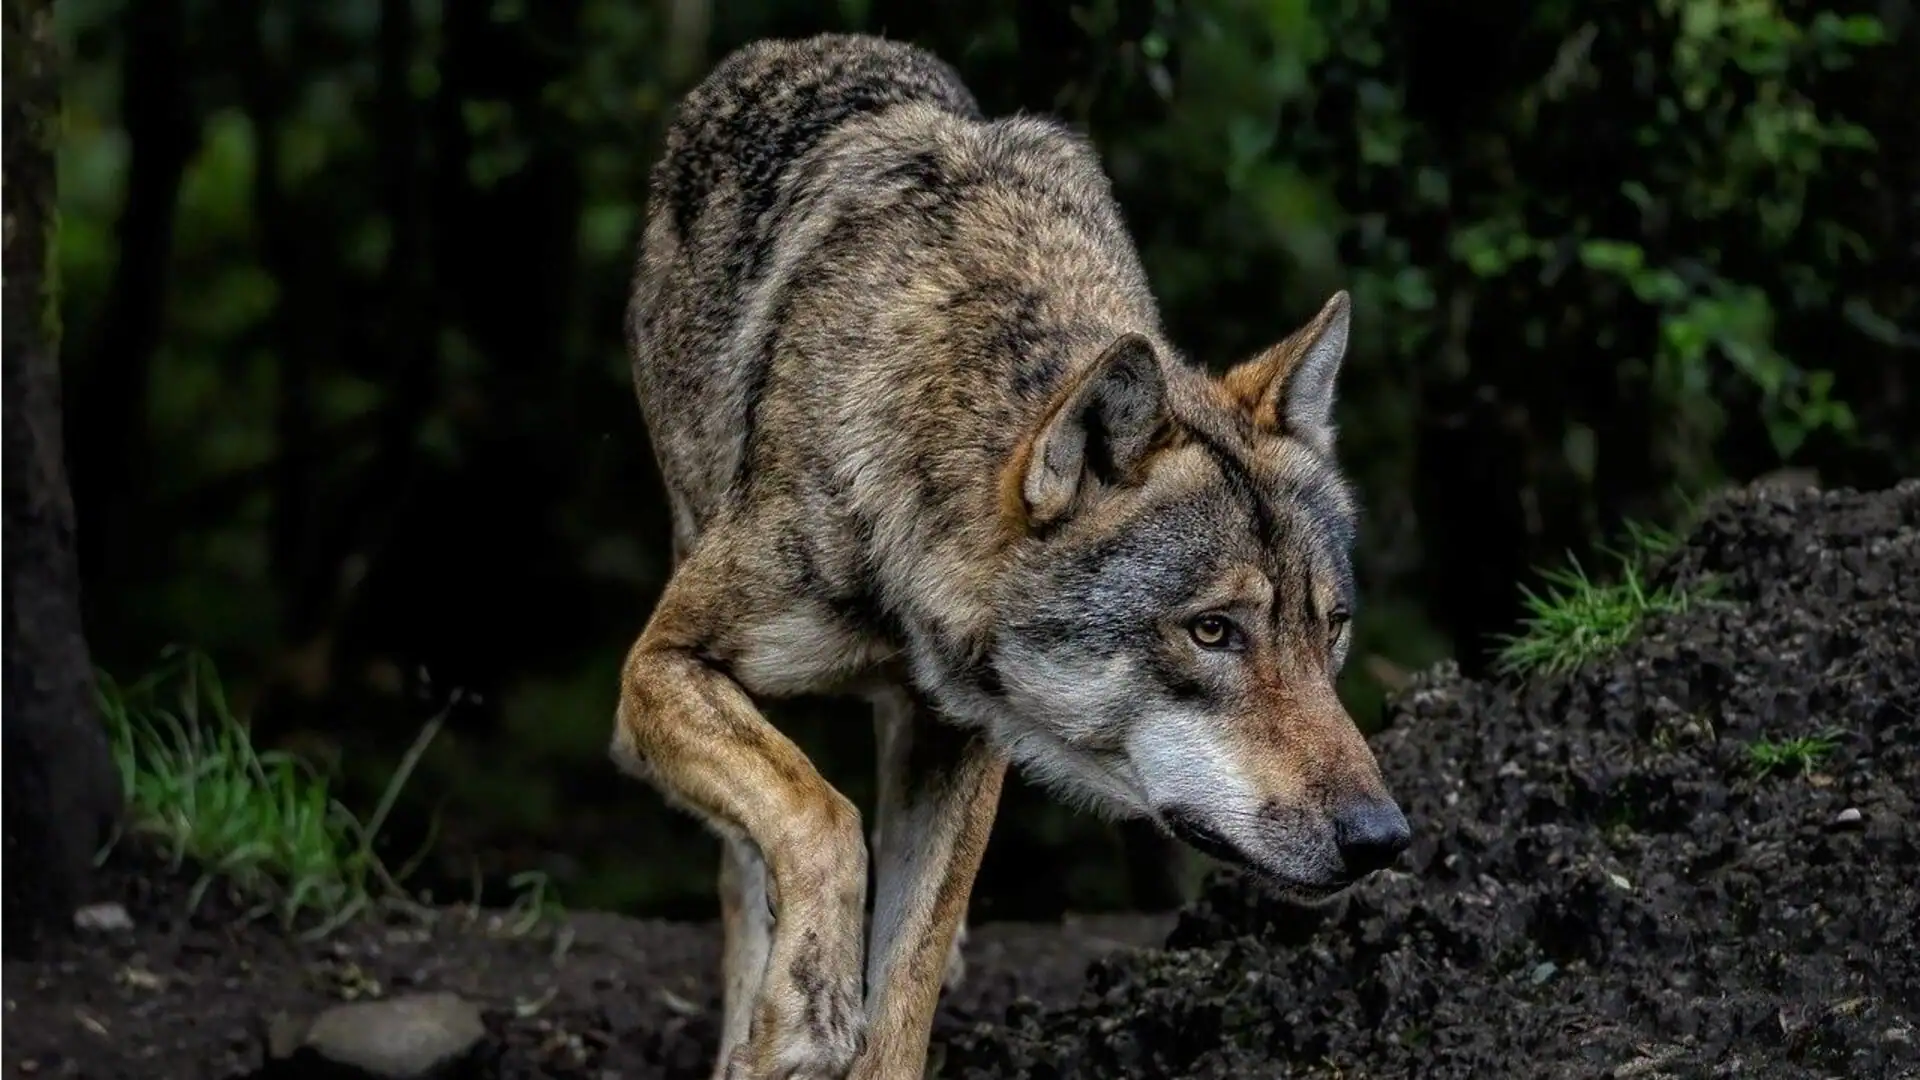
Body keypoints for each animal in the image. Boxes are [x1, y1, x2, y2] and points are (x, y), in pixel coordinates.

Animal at [614, 31, 1413, 1076]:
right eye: (1212, 632)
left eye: (1333, 629)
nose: (1383, 839)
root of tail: (788, 47)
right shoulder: (657, 668)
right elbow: (820, 816)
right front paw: (805, 1006)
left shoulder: (963, 740)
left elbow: (904, 985)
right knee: (748, 865)